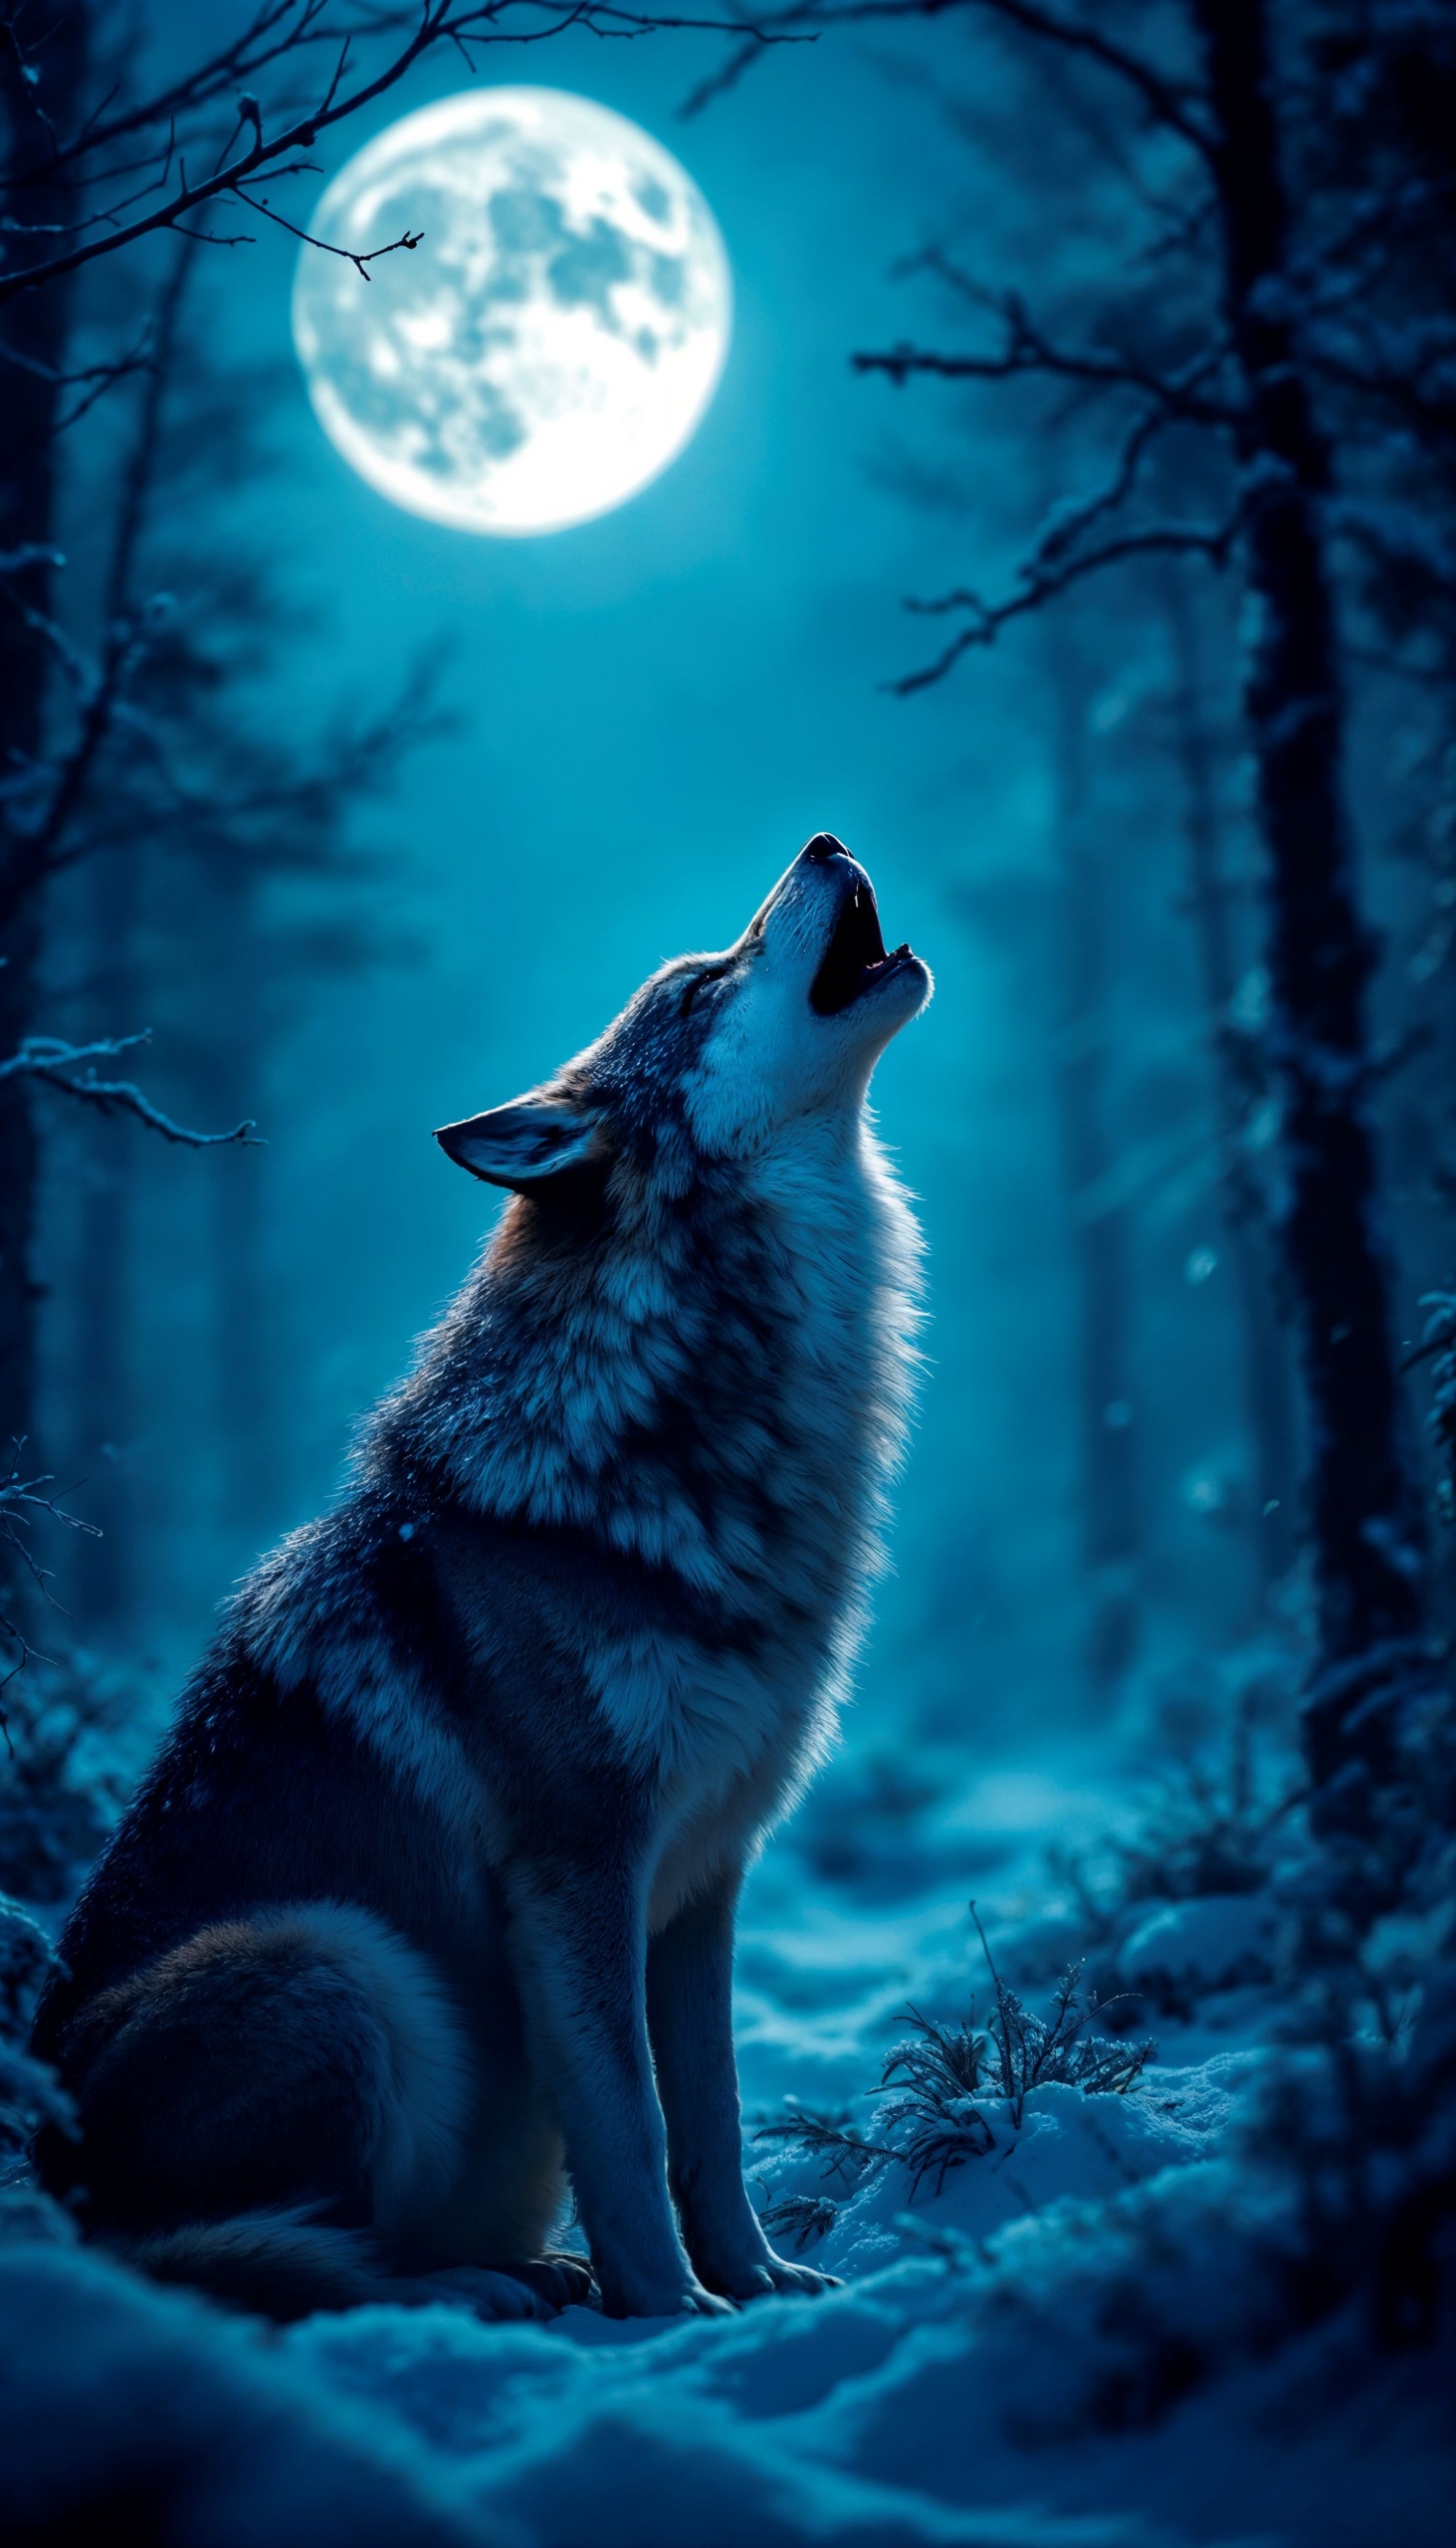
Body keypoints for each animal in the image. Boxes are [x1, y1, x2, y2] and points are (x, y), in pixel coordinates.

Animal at [32, 833, 930, 2324]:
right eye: (697, 986)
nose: (818, 842)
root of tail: (44, 2189)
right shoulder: (575, 1874)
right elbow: (628, 2127)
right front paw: (671, 2312)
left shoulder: (706, 1881)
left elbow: (714, 2119)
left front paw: (757, 2283)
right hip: (343, 1967)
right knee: (271, 2268)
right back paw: (482, 2293)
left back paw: (533, 2274)